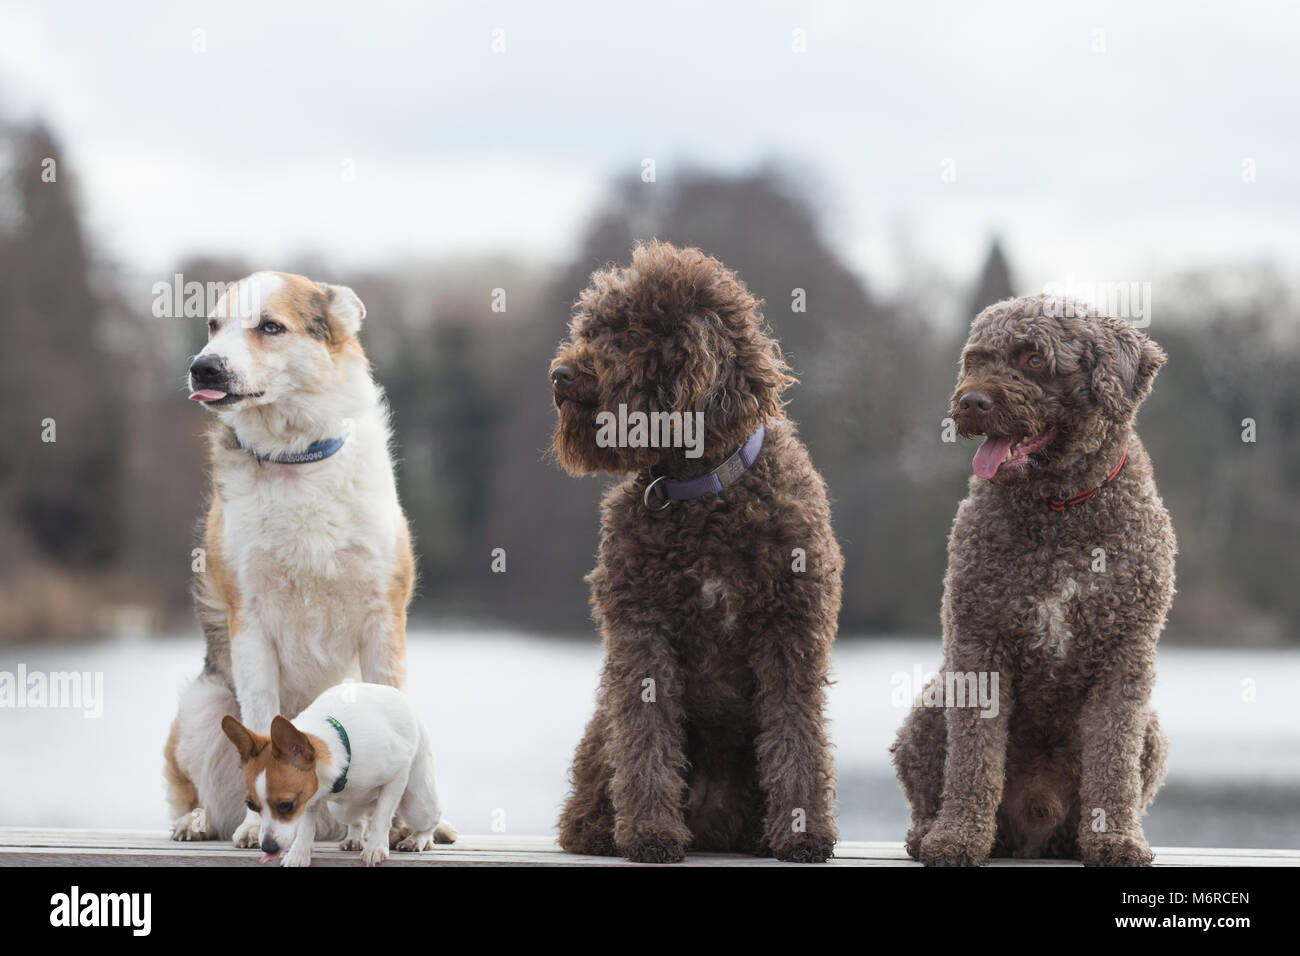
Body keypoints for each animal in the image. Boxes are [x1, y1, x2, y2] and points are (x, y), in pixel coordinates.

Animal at [165, 267, 413, 842]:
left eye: (271, 327)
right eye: (212, 324)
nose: (203, 366)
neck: (295, 458)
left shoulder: (383, 617)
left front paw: (386, 828)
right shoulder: (250, 624)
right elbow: (260, 721)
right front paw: (254, 827)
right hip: (202, 705)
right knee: (200, 793)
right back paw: (199, 821)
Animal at [218, 681, 452, 868]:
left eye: (286, 805)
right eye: (251, 805)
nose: (267, 847)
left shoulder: (398, 774)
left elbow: (382, 816)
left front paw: (376, 847)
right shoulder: (309, 797)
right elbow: (306, 825)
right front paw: (299, 852)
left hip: (418, 804)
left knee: (429, 819)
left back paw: (418, 839)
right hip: (341, 809)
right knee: (357, 820)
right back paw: (354, 838)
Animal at [548, 240, 842, 868]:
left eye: (633, 333)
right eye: (592, 327)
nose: (559, 374)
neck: (701, 493)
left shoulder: (789, 631)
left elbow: (796, 736)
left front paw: (802, 834)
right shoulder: (642, 632)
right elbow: (646, 738)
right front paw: (650, 833)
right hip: (601, 729)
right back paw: (599, 830)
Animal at [894, 293, 1180, 868]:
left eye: (1033, 358)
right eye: (975, 359)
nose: (971, 401)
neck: (1058, 507)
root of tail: (1035, 821)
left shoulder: (1125, 655)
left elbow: (1113, 762)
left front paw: (1115, 840)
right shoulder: (980, 643)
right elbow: (974, 760)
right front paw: (958, 838)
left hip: (1152, 732)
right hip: (929, 709)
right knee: (931, 784)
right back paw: (930, 830)